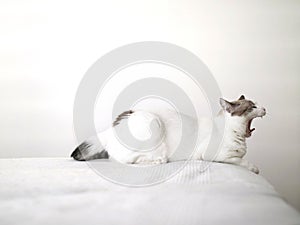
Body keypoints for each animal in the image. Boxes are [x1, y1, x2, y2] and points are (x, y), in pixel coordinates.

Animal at [69, 95, 264, 174]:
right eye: (253, 106)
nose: (264, 108)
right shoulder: (214, 155)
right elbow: (241, 160)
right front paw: (254, 168)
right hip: (153, 124)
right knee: (124, 160)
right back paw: (157, 161)